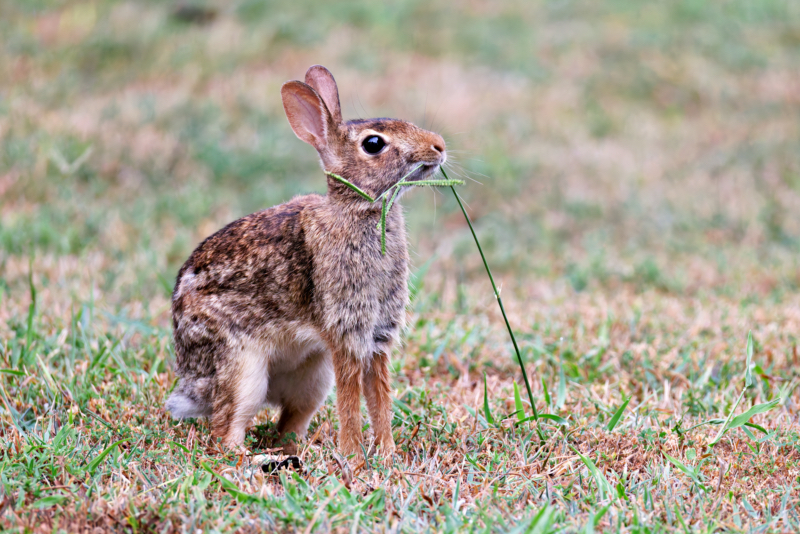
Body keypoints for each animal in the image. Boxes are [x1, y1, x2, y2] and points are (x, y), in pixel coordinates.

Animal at [166, 65, 446, 458]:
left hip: (313, 378)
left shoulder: (378, 336)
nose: (439, 145)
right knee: (225, 433)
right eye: (373, 144)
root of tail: (191, 383)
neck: (358, 211)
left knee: (288, 422)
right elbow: (351, 400)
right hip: (242, 371)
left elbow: (380, 397)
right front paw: (355, 459)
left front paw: (387, 455)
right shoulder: (347, 331)